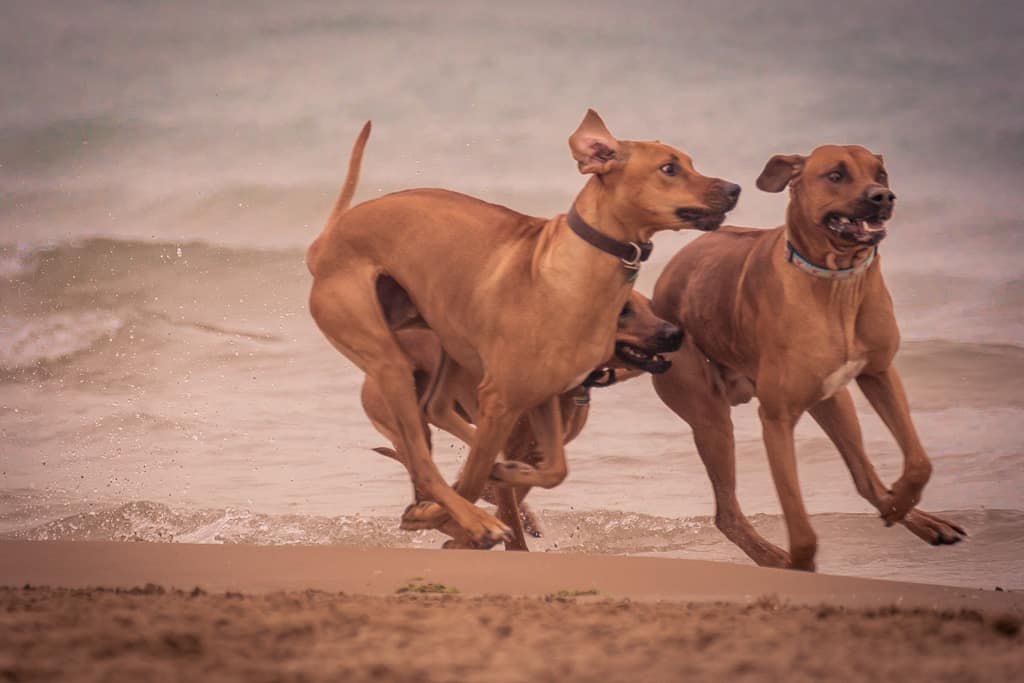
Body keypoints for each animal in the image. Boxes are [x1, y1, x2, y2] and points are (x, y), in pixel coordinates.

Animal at [360, 290, 679, 552]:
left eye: (652, 308)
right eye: (623, 310)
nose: (674, 332)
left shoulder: (535, 452)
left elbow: (521, 483)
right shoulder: (510, 443)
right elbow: (505, 507)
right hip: (408, 422)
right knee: (426, 473)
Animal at [651, 144, 962, 573]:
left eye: (880, 174)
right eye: (835, 175)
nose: (883, 197)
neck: (836, 282)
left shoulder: (880, 372)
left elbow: (919, 461)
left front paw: (901, 502)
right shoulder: (777, 419)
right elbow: (798, 519)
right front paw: (800, 561)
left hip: (833, 401)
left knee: (865, 478)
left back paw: (920, 520)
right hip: (710, 417)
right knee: (727, 513)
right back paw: (775, 559)